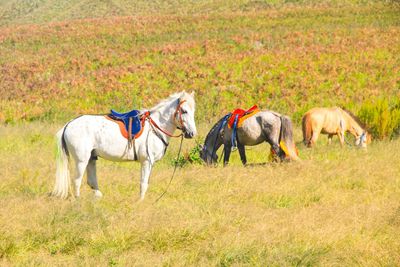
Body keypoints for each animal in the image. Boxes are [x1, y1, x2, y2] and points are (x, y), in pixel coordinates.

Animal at [51, 91, 197, 200]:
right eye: (184, 111)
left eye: (193, 111)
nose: (191, 133)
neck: (155, 127)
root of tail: (68, 124)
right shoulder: (146, 162)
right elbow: (143, 184)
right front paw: (140, 202)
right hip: (81, 160)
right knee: (77, 181)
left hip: (91, 159)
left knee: (91, 181)